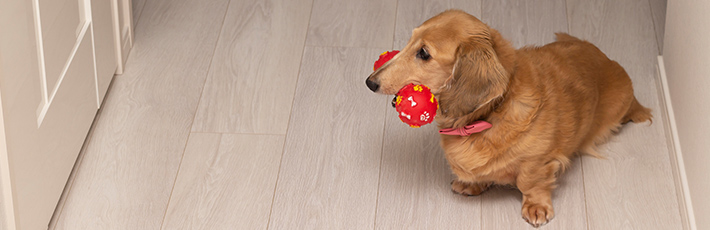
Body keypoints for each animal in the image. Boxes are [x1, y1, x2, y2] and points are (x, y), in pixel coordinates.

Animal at [370, 9, 652, 227]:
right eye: (410, 41)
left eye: (424, 53)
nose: (369, 82)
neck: (490, 114)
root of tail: (606, 58)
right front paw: (472, 184)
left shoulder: (538, 161)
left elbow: (530, 182)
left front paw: (536, 207)